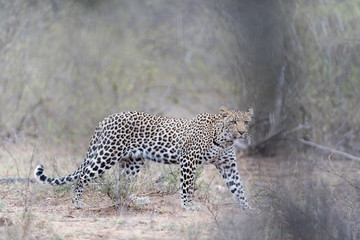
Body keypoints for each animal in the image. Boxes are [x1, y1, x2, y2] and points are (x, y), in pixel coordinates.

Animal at [33, 106, 253, 210]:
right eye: (233, 122)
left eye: (247, 122)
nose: (242, 133)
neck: (224, 139)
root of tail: (105, 119)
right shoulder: (189, 161)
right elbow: (187, 186)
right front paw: (188, 205)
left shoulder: (228, 166)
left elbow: (239, 188)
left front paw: (250, 209)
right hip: (107, 154)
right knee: (83, 175)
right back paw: (77, 203)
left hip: (132, 160)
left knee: (121, 186)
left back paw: (137, 200)